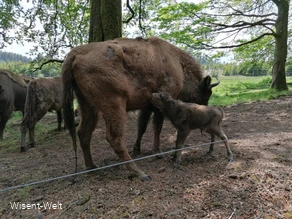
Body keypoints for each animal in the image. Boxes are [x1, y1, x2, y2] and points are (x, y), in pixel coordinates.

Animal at [61, 35, 217, 180]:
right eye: (205, 94)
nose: (205, 111)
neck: (177, 62)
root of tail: (75, 53)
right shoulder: (161, 104)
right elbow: (157, 127)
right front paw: (157, 152)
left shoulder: (146, 107)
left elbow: (142, 127)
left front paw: (138, 149)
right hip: (114, 105)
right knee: (114, 138)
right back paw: (140, 173)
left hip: (86, 105)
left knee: (84, 133)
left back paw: (92, 167)